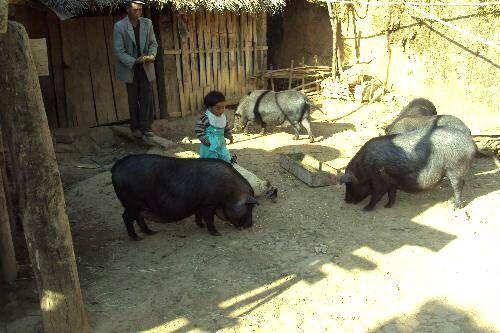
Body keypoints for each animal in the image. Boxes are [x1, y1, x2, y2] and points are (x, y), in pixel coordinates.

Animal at [110, 154, 258, 239]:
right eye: (249, 207)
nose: (250, 225)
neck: (230, 193)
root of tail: (116, 167)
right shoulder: (209, 203)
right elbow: (209, 218)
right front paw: (217, 234)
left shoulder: (200, 204)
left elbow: (198, 215)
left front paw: (200, 226)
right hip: (131, 203)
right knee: (126, 217)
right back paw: (137, 238)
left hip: (139, 205)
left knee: (139, 218)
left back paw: (151, 232)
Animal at [340, 126, 476, 210]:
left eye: (349, 184)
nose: (346, 200)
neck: (364, 168)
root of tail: (471, 144)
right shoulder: (391, 181)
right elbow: (392, 194)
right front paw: (387, 206)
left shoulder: (379, 180)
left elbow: (376, 195)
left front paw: (366, 209)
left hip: (455, 168)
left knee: (458, 186)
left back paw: (455, 207)